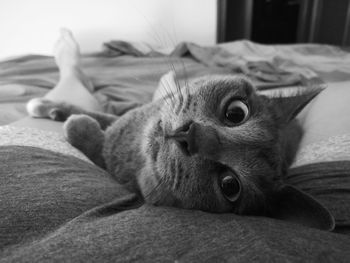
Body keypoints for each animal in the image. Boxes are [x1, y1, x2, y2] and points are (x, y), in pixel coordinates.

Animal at [26, 72, 334, 231]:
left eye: (230, 185)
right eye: (236, 113)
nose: (191, 135)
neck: (134, 145)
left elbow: (96, 142)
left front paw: (78, 126)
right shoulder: (126, 119)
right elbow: (99, 113)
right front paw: (49, 106)